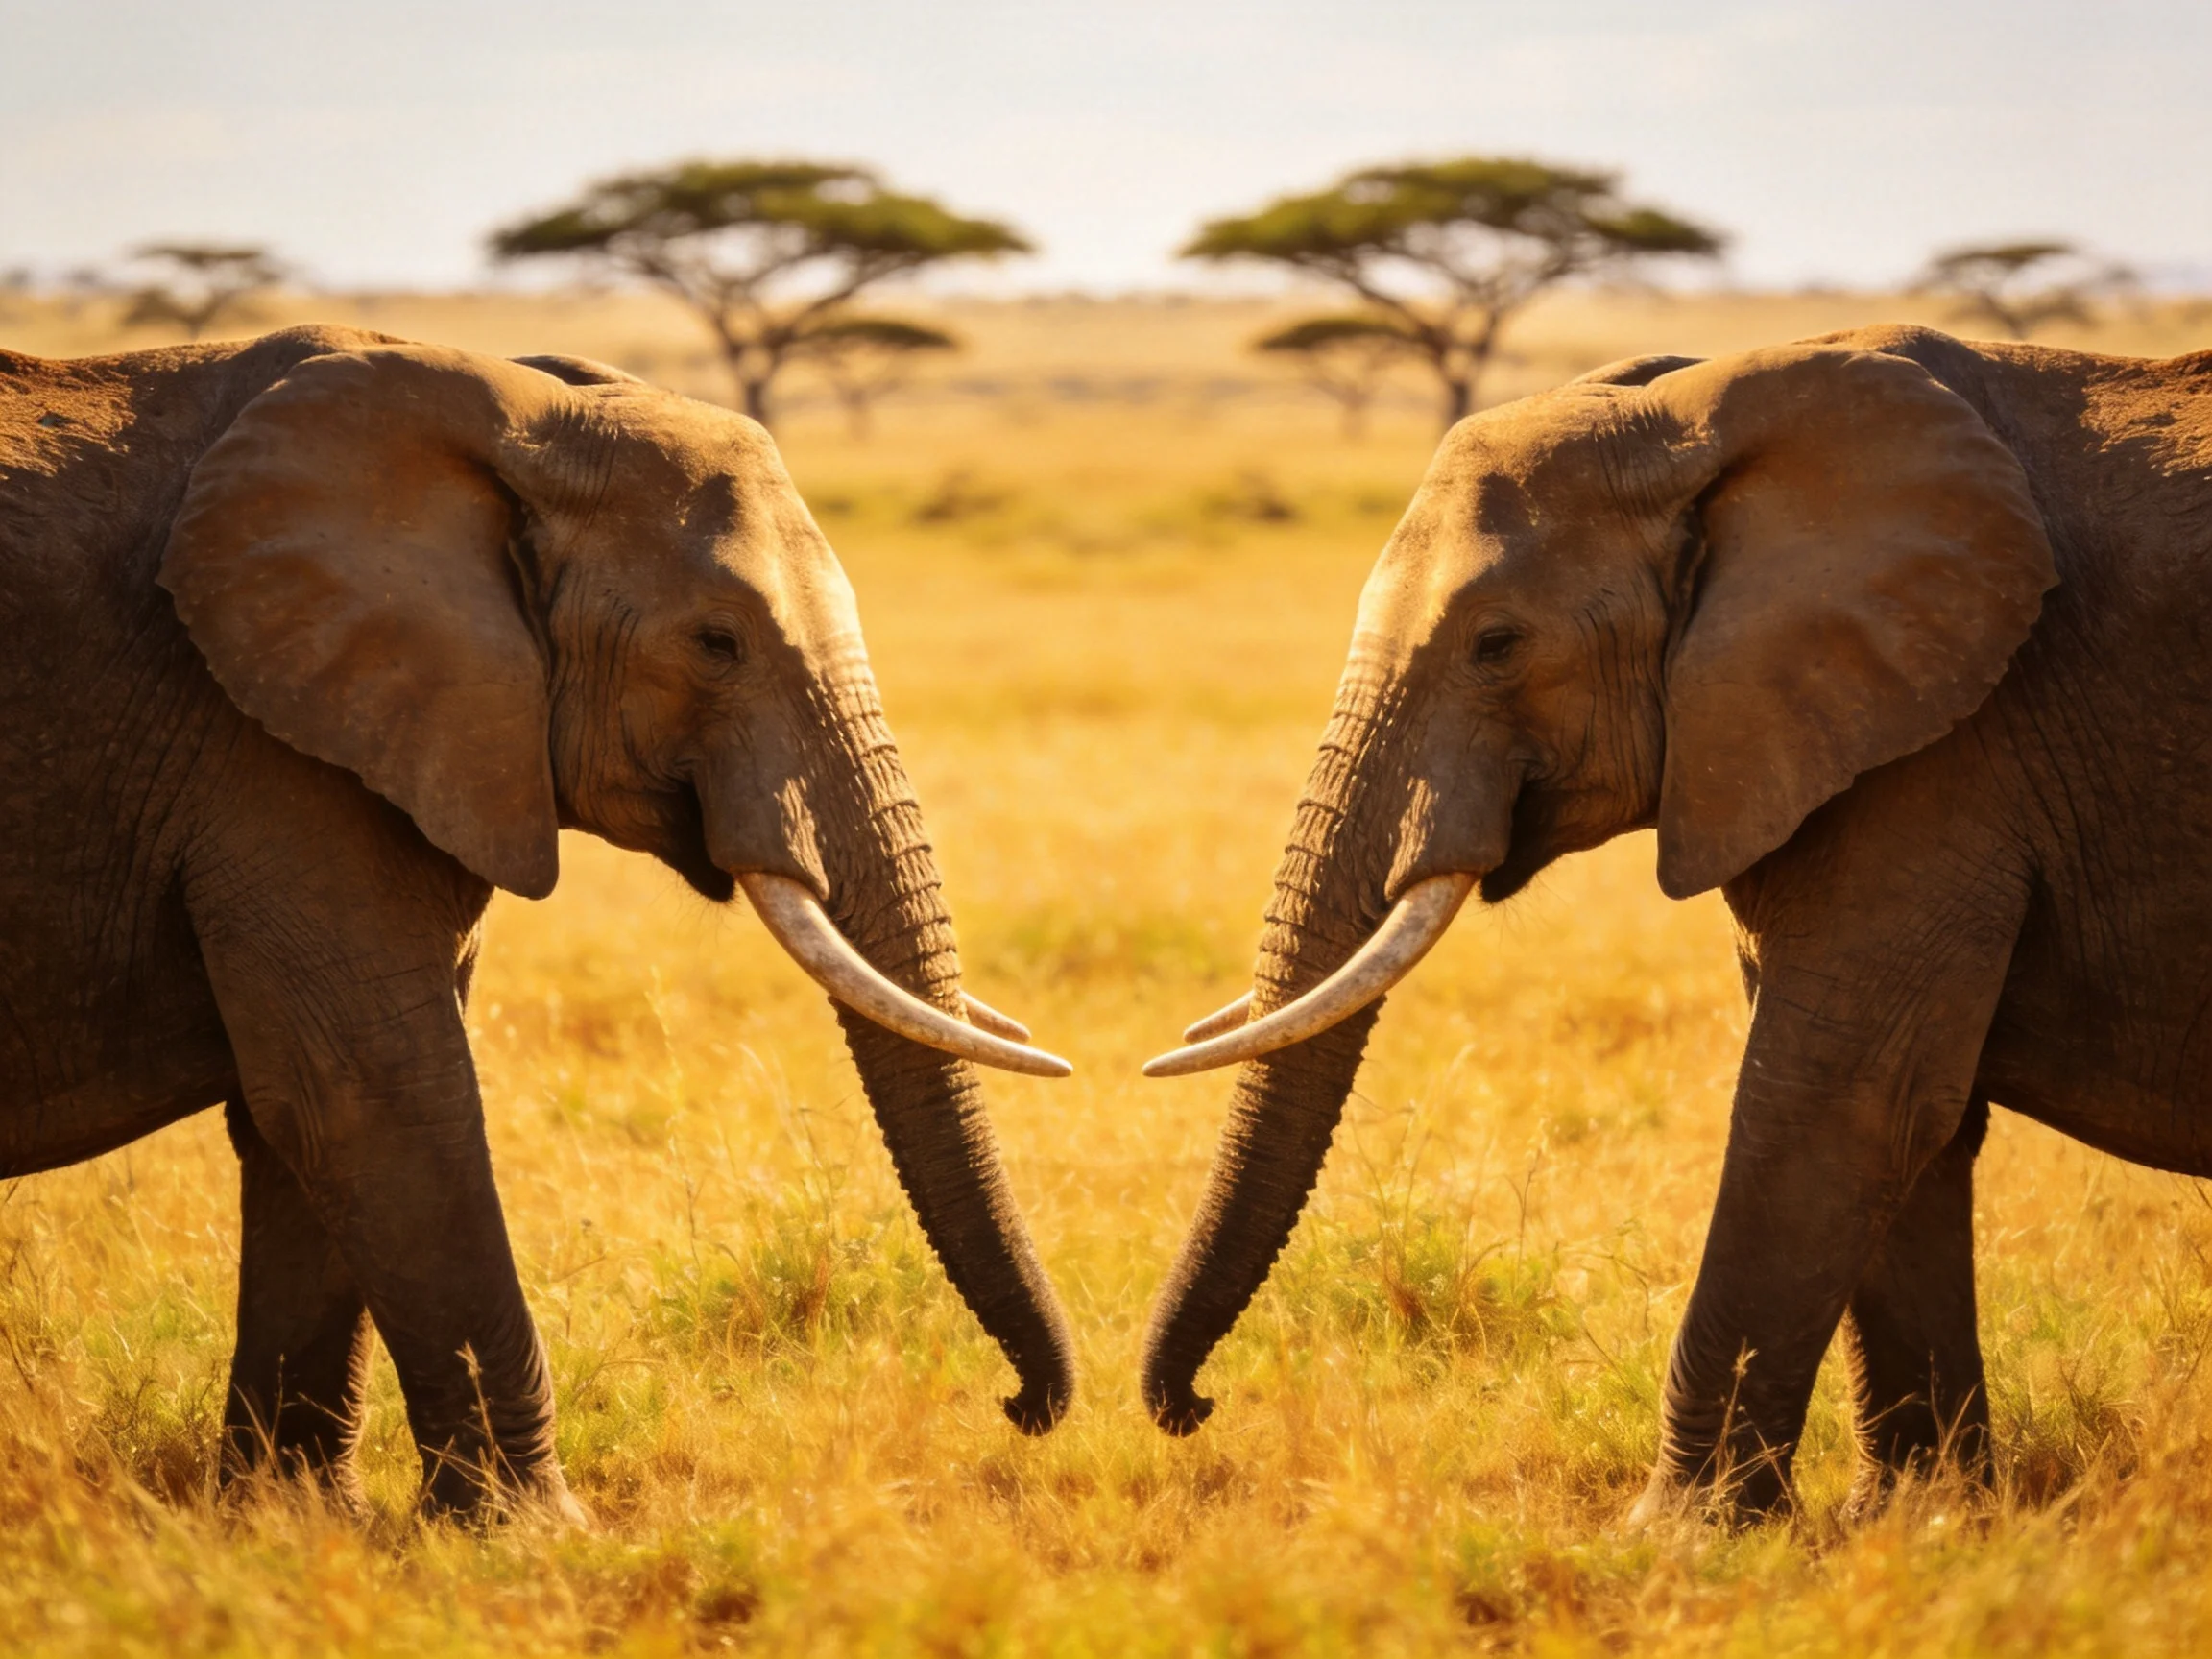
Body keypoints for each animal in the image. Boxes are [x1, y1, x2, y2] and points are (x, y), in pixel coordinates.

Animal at [0, 324, 1076, 1519]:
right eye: (715, 643)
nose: (1020, 1409)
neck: (513, 417)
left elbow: (297, 1115)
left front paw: (297, 1523)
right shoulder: (266, 747)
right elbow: (374, 1094)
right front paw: (536, 1533)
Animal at [1139, 324, 2212, 1519]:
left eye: (1498, 644)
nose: (1193, 1408)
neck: (1703, 415)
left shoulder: (1950, 750)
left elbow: (1841, 1100)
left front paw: (1676, 1534)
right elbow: (1917, 1119)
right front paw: (1917, 1522)